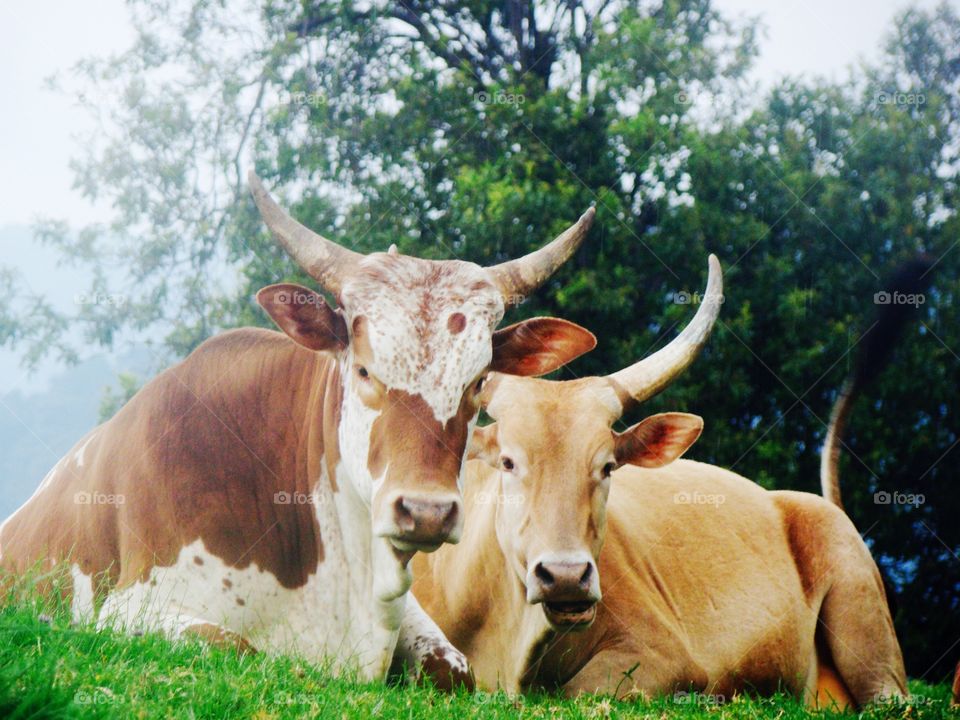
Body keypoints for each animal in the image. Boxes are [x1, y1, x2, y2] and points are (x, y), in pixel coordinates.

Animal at [0, 171, 598, 687]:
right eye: (363, 370)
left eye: (477, 382)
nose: (427, 512)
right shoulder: (131, 609)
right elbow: (245, 649)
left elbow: (454, 668)